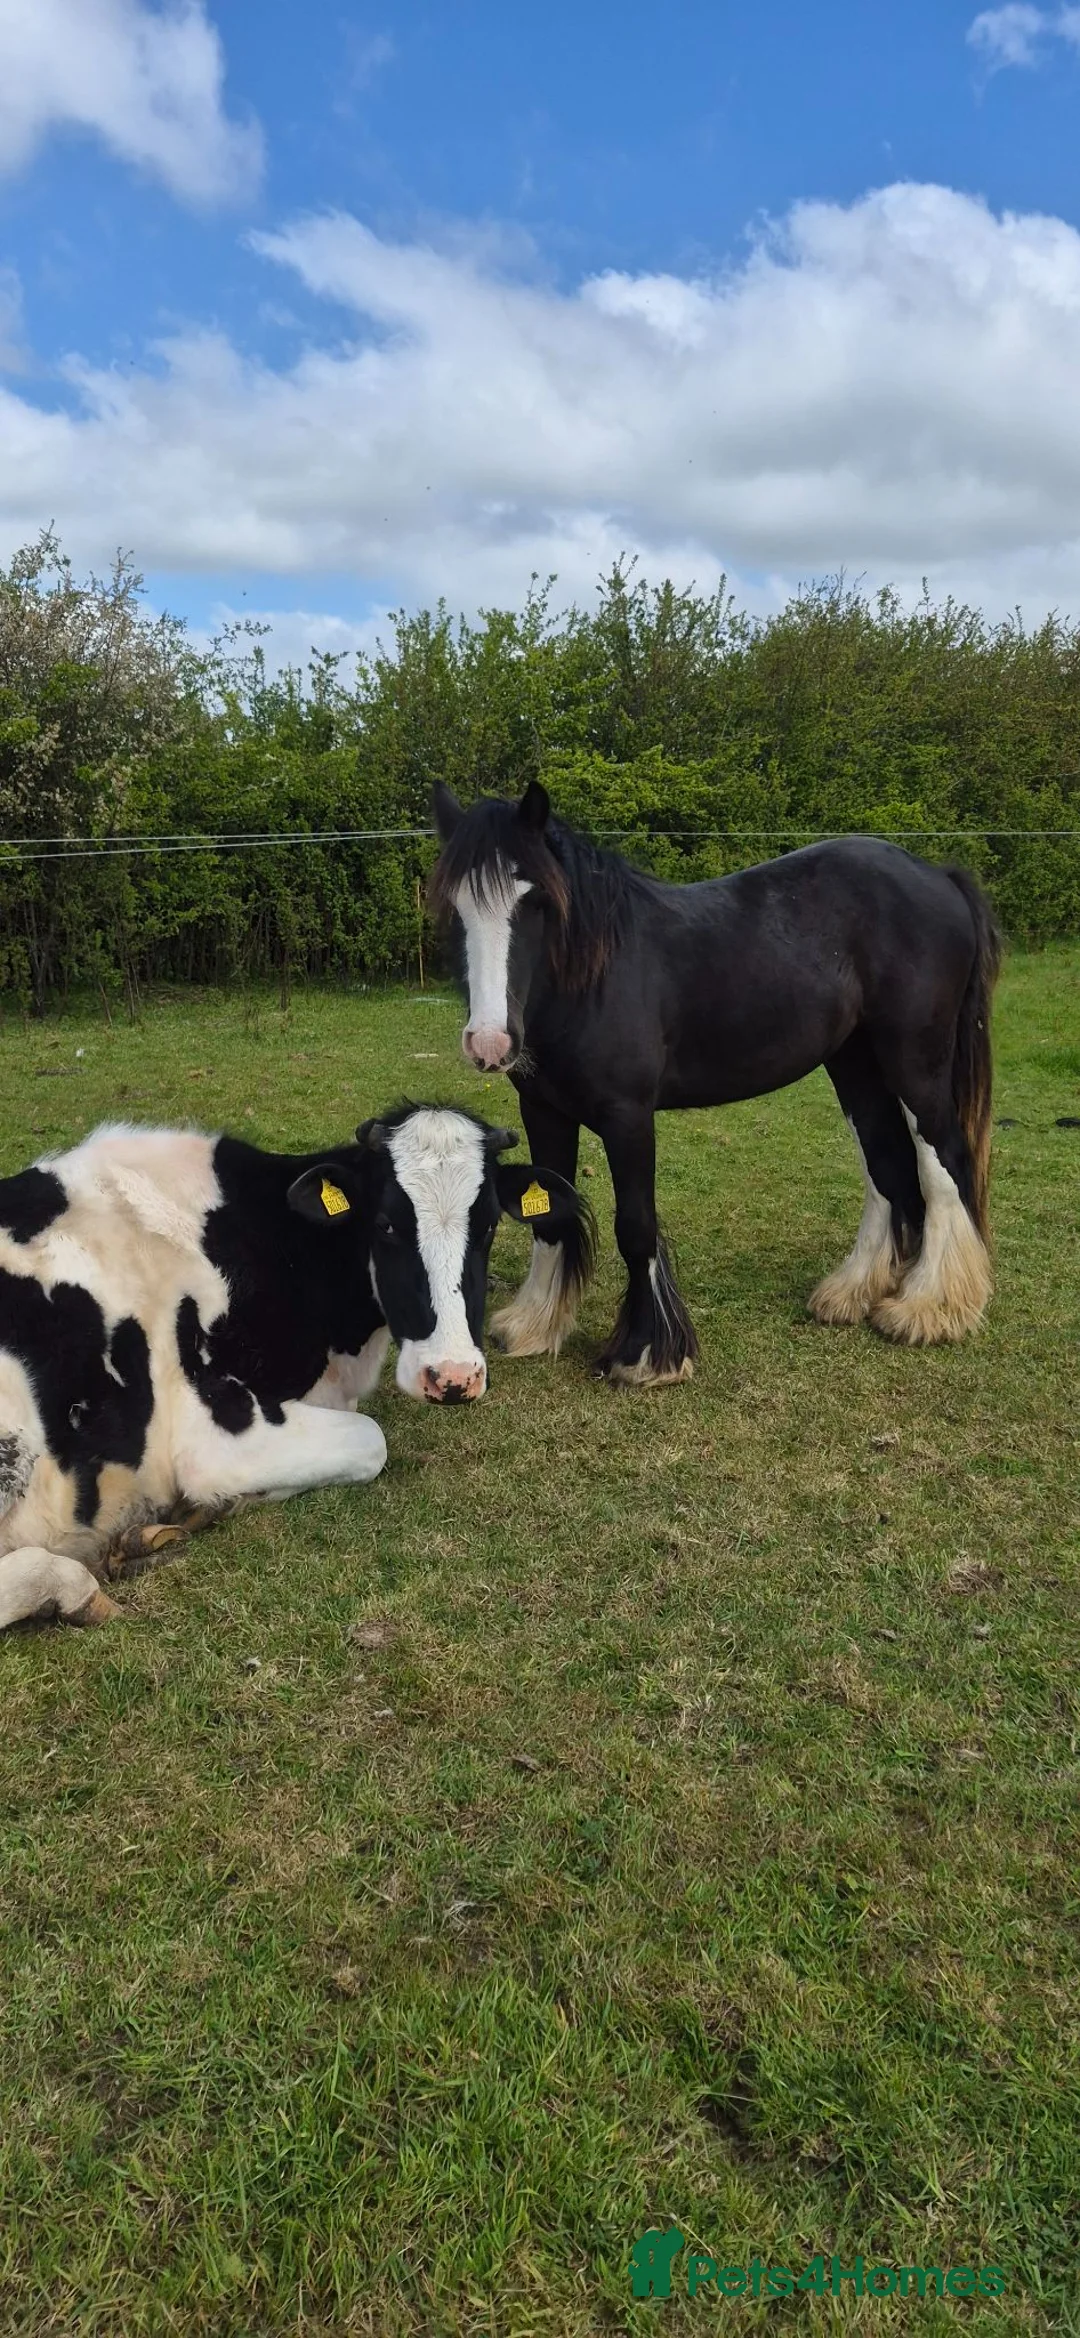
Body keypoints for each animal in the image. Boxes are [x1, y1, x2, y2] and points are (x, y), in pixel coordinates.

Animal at [429, 781, 1002, 1388]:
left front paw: (645, 1354)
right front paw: (534, 1325)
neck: (595, 977)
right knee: (886, 1164)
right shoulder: (543, 1111)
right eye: (455, 906)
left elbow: (635, 1226)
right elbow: (548, 1215)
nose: (490, 1043)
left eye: (534, 899)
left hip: (916, 1065)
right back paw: (851, 1293)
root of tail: (938, 875)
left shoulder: (627, 1116)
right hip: (856, 1065)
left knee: (943, 1165)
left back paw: (928, 1307)